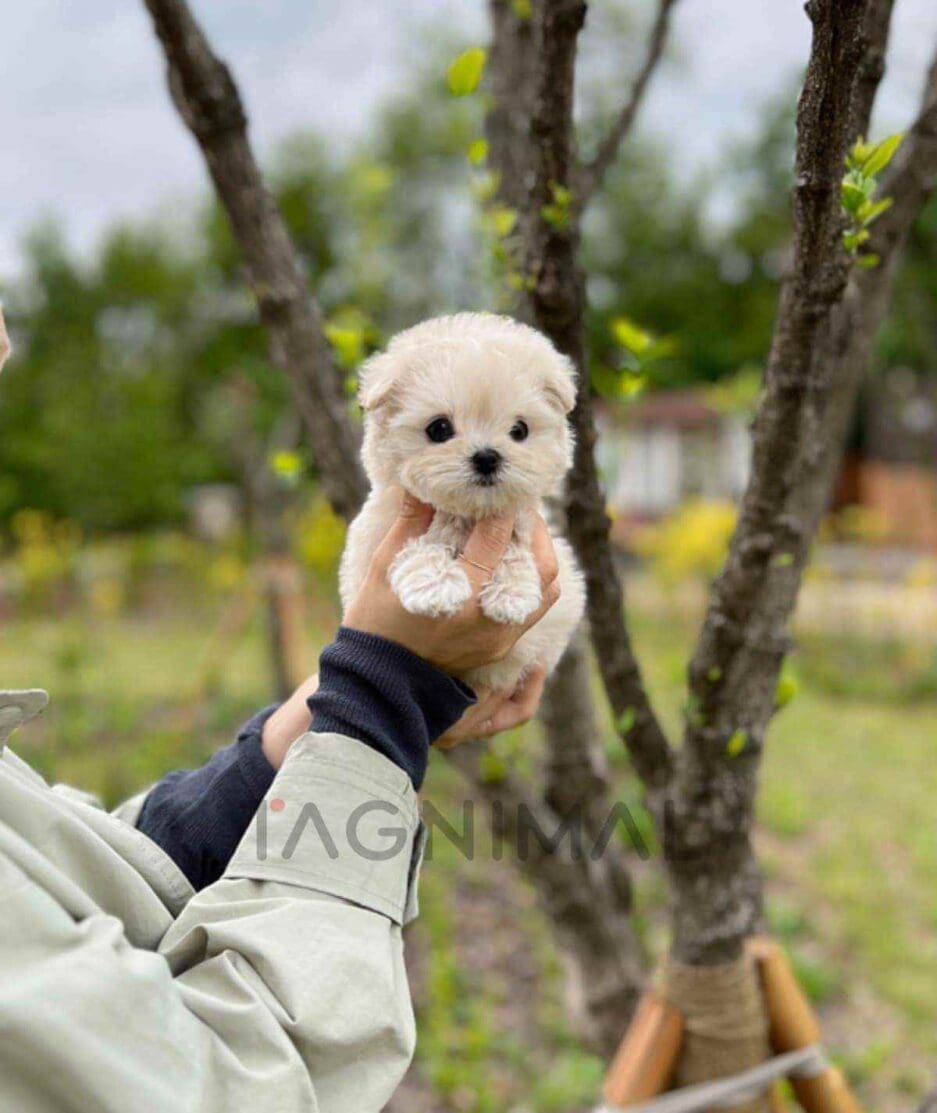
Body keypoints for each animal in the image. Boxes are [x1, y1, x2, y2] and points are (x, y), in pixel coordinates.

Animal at [336, 313, 583, 690]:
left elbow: (515, 548)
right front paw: (437, 587)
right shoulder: (373, 549)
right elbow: (417, 547)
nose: (486, 457)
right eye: (439, 429)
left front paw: (512, 593)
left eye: (520, 430)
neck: (464, 515)